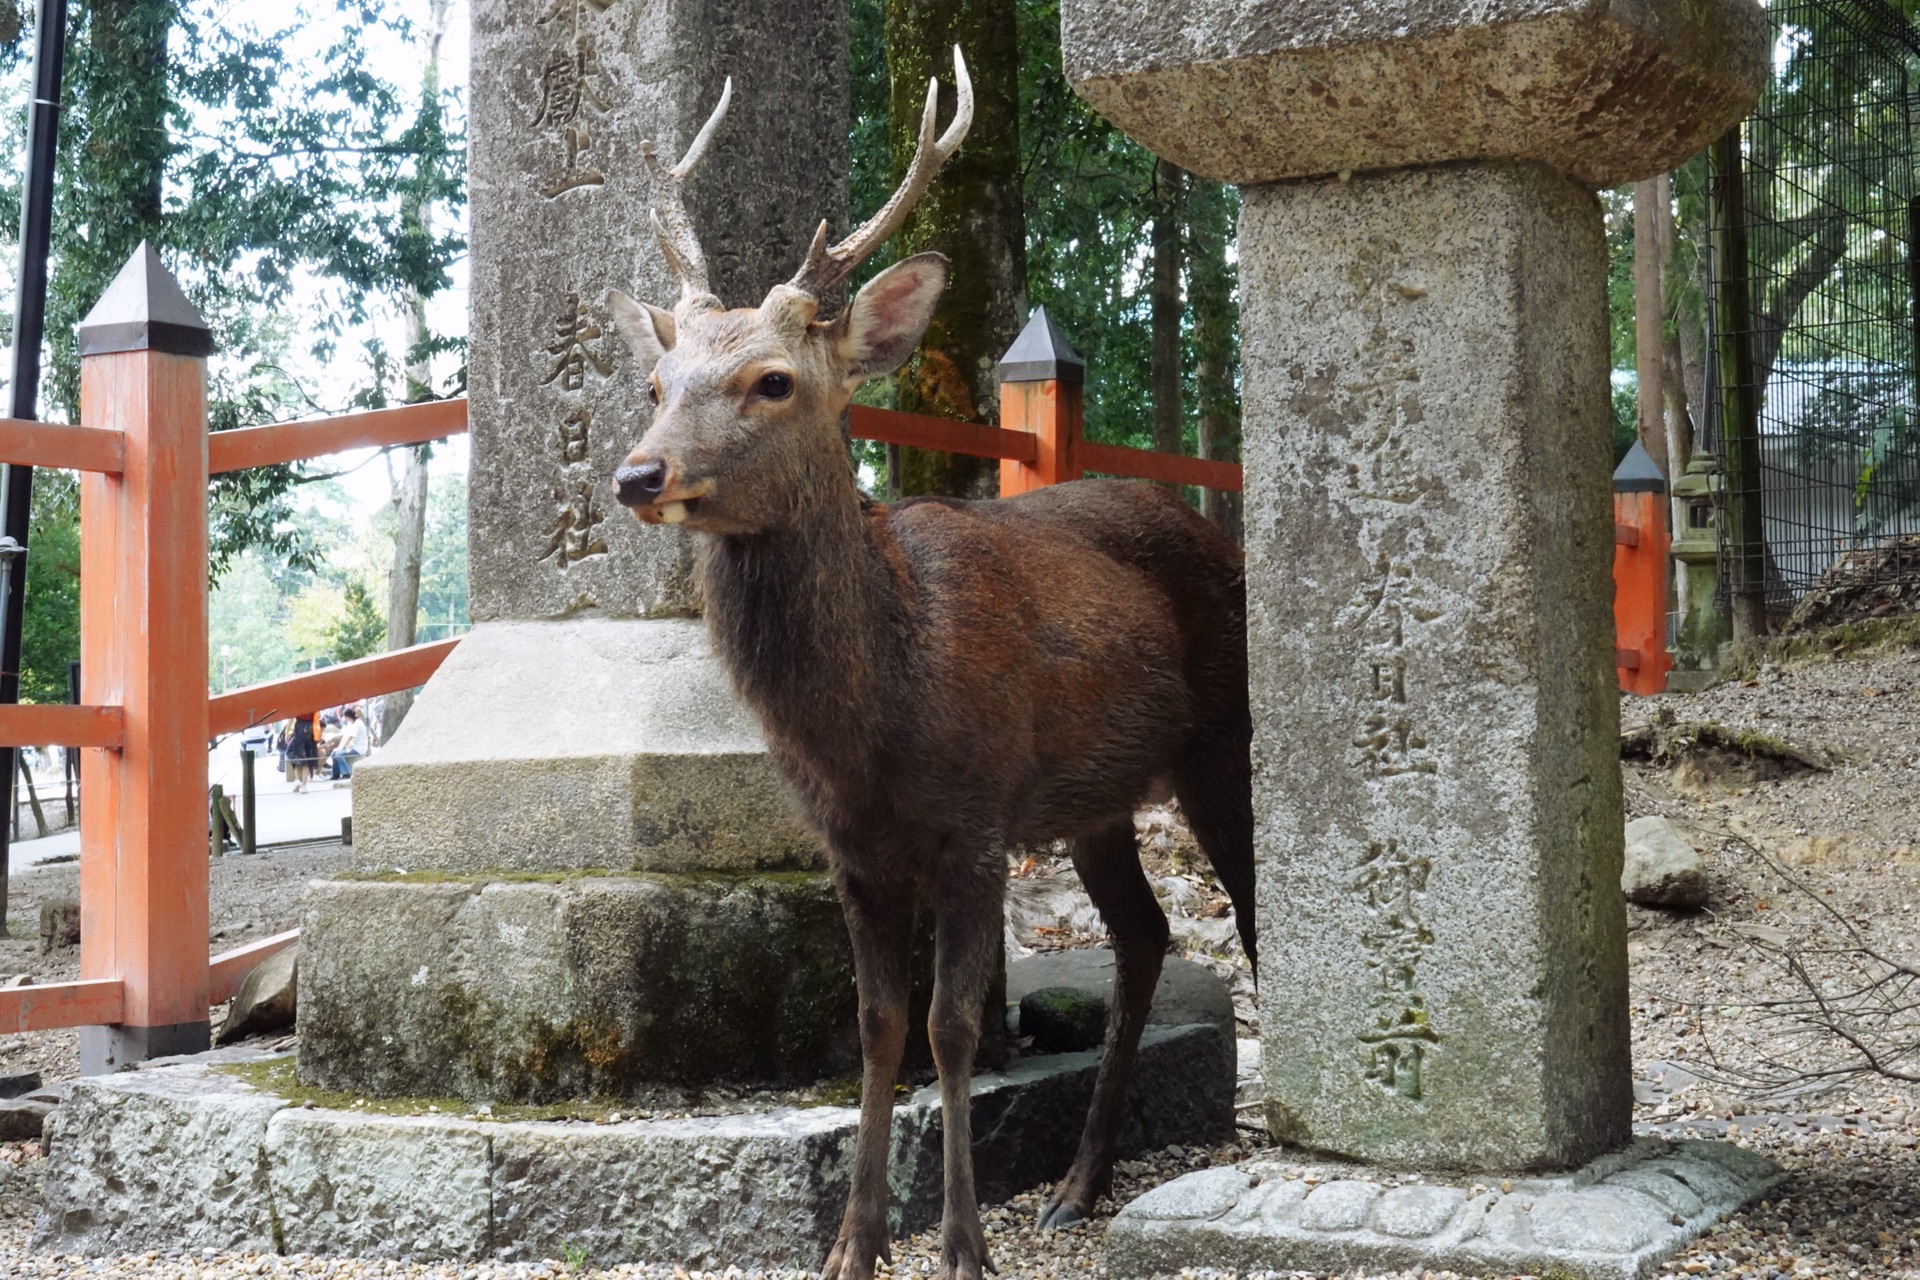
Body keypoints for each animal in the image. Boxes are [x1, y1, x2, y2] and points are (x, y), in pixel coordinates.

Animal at [606, 52, 1251, 1280]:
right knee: (1147, 933)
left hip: (1225, 747)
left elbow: (952, 1028)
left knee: (1250, 910)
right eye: (658, 380)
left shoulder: (979, 817)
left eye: (773, 380)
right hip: (1096, 799)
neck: (871, 725)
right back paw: (1078, 1185)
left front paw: (960, 1245)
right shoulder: (853, 850)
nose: (638, 474)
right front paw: (853, 1245)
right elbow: (879, 1029)